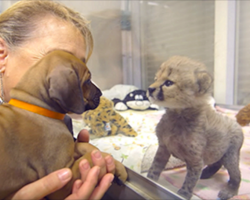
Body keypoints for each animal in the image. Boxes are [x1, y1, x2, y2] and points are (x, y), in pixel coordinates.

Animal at [0, 50, 127, 198]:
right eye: (88, 80)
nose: (101, 93)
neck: (38, 108)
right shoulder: (62, 183)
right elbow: (90, 157)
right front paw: (105, 158)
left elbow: (85, 146)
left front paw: (118, 167)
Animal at [147, 55, 243, 200]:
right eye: (156, 79)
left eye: (168, 83)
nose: (150, 89)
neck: (178, 115)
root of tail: (236, 123)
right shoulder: (164, 148)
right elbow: (155, 166)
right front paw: (150, 179)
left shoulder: (195, 160)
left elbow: (190, 179)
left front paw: (184, 194)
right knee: (217, 161)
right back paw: (207, 173)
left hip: (230, 155)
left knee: (235, 174)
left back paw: (230, 191)